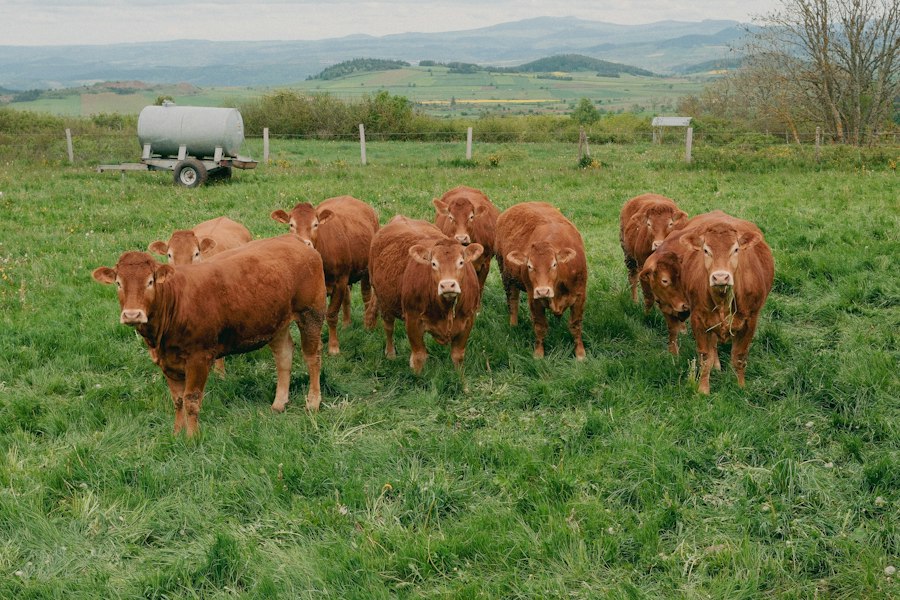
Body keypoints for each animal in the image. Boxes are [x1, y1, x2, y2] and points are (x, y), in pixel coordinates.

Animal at [92, 235, 326, 436]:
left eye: (150, 282)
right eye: (118, 283)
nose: (132, 314)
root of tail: (295, 240)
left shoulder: (199, 358)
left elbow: (191, 400)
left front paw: (192, 438)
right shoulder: (167, 362)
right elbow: (178, 400)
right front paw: (176, 433)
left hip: (311, 312)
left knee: (312, 357)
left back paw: (313, 401)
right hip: (277, 320)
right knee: (284, 354)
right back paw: (279, 403)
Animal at [271, 195, 379, 355]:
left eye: (315, 224)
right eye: (291, 224)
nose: (305, 243)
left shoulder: (339, 282)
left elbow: (332, 314)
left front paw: (333, 347)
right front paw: (318, 345)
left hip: (366, 268)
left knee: (366, 295)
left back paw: (368, 325)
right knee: (347, 297)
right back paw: (346, 323)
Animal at [369, 216, 483, 373]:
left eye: (461, 262)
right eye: (433, 263)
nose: (448, 285)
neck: (446, 309)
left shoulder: (468, 319)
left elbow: (458, 355)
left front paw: (460, 376)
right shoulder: (412, 319)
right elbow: (419, 356)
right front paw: (417, 376)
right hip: (384, 301)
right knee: (389, 327)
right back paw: (390, 354)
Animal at [495, 202, 588, 360]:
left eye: (554, 264)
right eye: (529, 266)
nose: (543, 291)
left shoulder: (580, 296)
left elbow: (575, 325)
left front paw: (580, 354)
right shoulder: (534, 299)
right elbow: (540, 326)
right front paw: (538, 354)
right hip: (506, 275)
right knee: (512, 301)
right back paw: (513, 325)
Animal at [677, 212, 774, 394]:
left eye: (735, 249)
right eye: (706, 250)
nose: (720, 277)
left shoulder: (750, 320)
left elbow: (739, 357)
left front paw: (740, 386)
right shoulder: (698, 318)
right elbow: (705, 357)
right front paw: (703, 389)